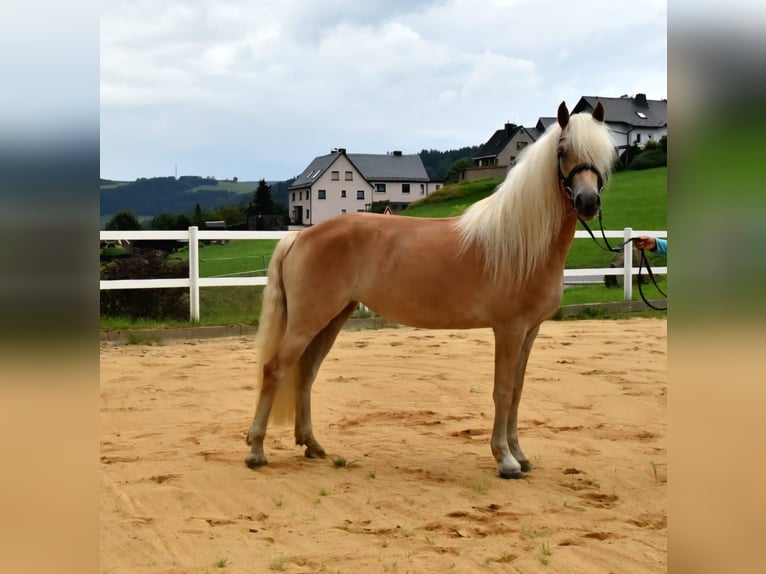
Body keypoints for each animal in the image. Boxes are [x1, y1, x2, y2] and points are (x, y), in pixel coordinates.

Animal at [246, 103, 616, 482]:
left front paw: (520, 455)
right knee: (274, 370)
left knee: (305, 373)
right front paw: (505, 459)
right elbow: (502, 390)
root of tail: (299, 236)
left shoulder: (530, 330)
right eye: (562, 151)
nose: (588, 202)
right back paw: (257, 450)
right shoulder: (509, 329)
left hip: (332, 318)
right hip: (307, 320)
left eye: (606, 153)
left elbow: (517, 391)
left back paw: (312, 445)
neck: (521, 243)